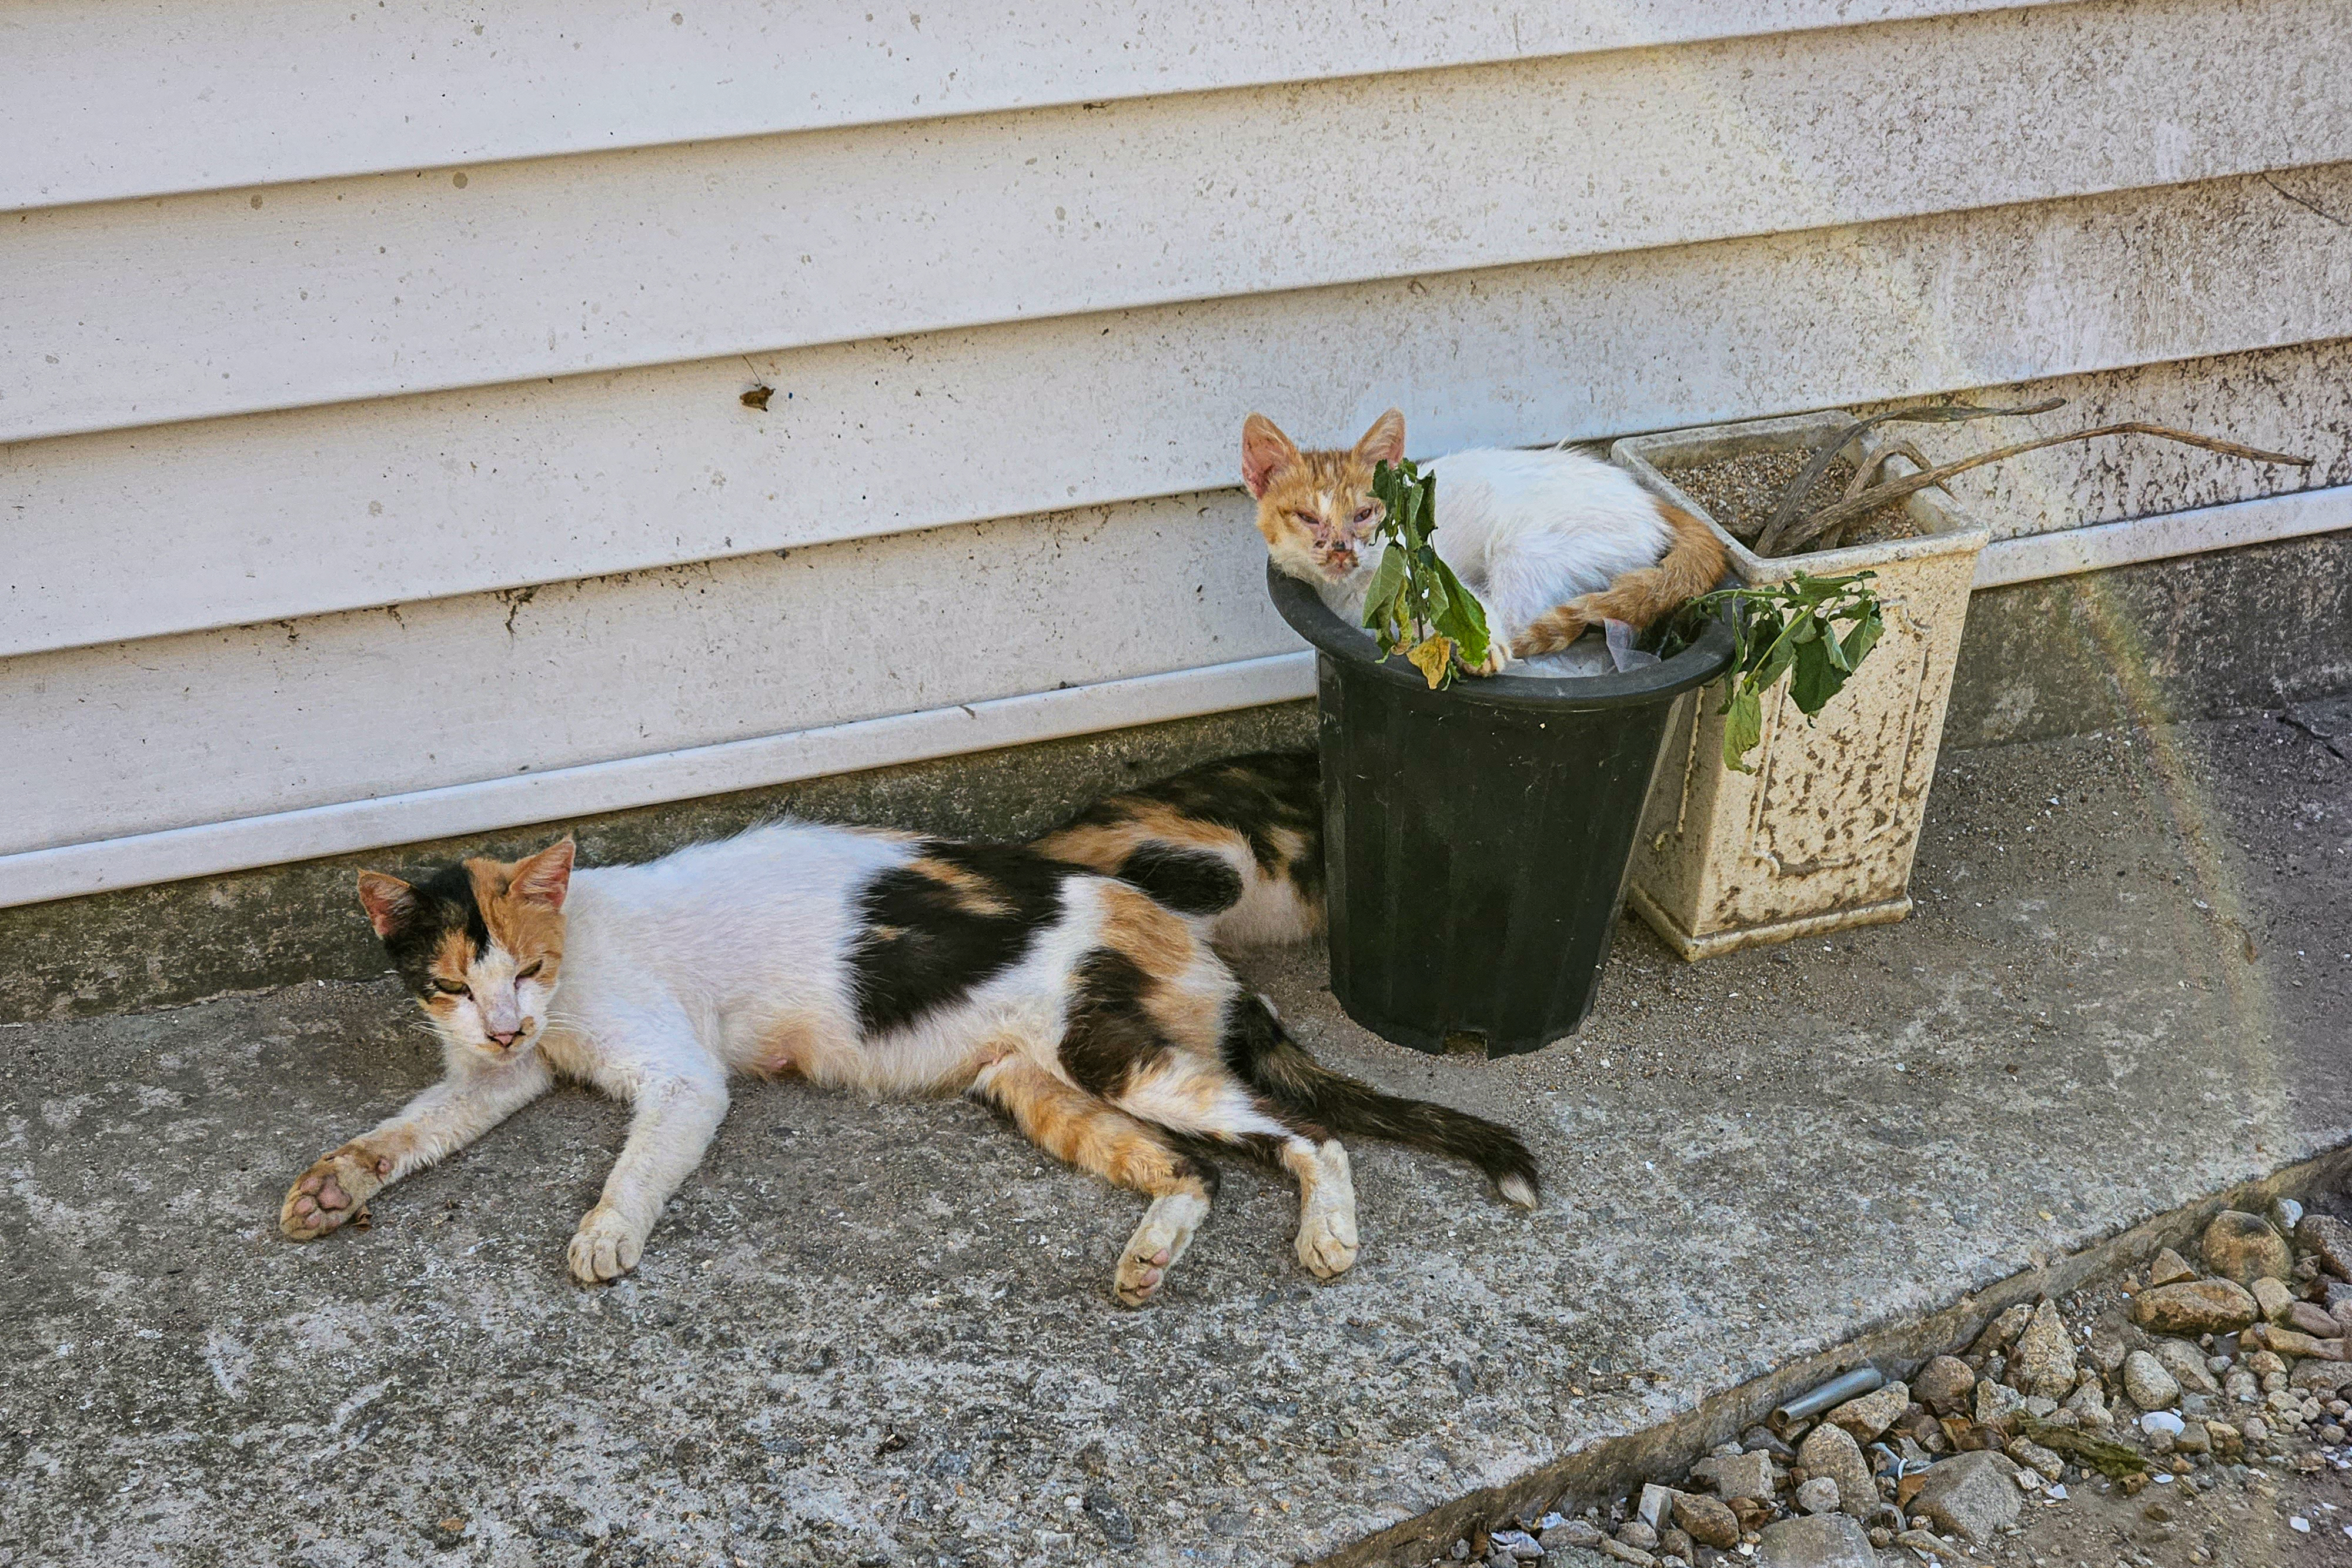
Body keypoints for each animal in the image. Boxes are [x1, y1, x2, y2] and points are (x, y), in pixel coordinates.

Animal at [1242, 409, 1722, 672]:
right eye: (1307, 517)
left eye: (1364, 515)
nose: (1341, 548)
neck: (1355, 594)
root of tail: (1650, 499)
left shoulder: (1437, 578)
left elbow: (1472, 613)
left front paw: (1479, 649)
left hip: (1526, 548)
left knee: (1516, 618)